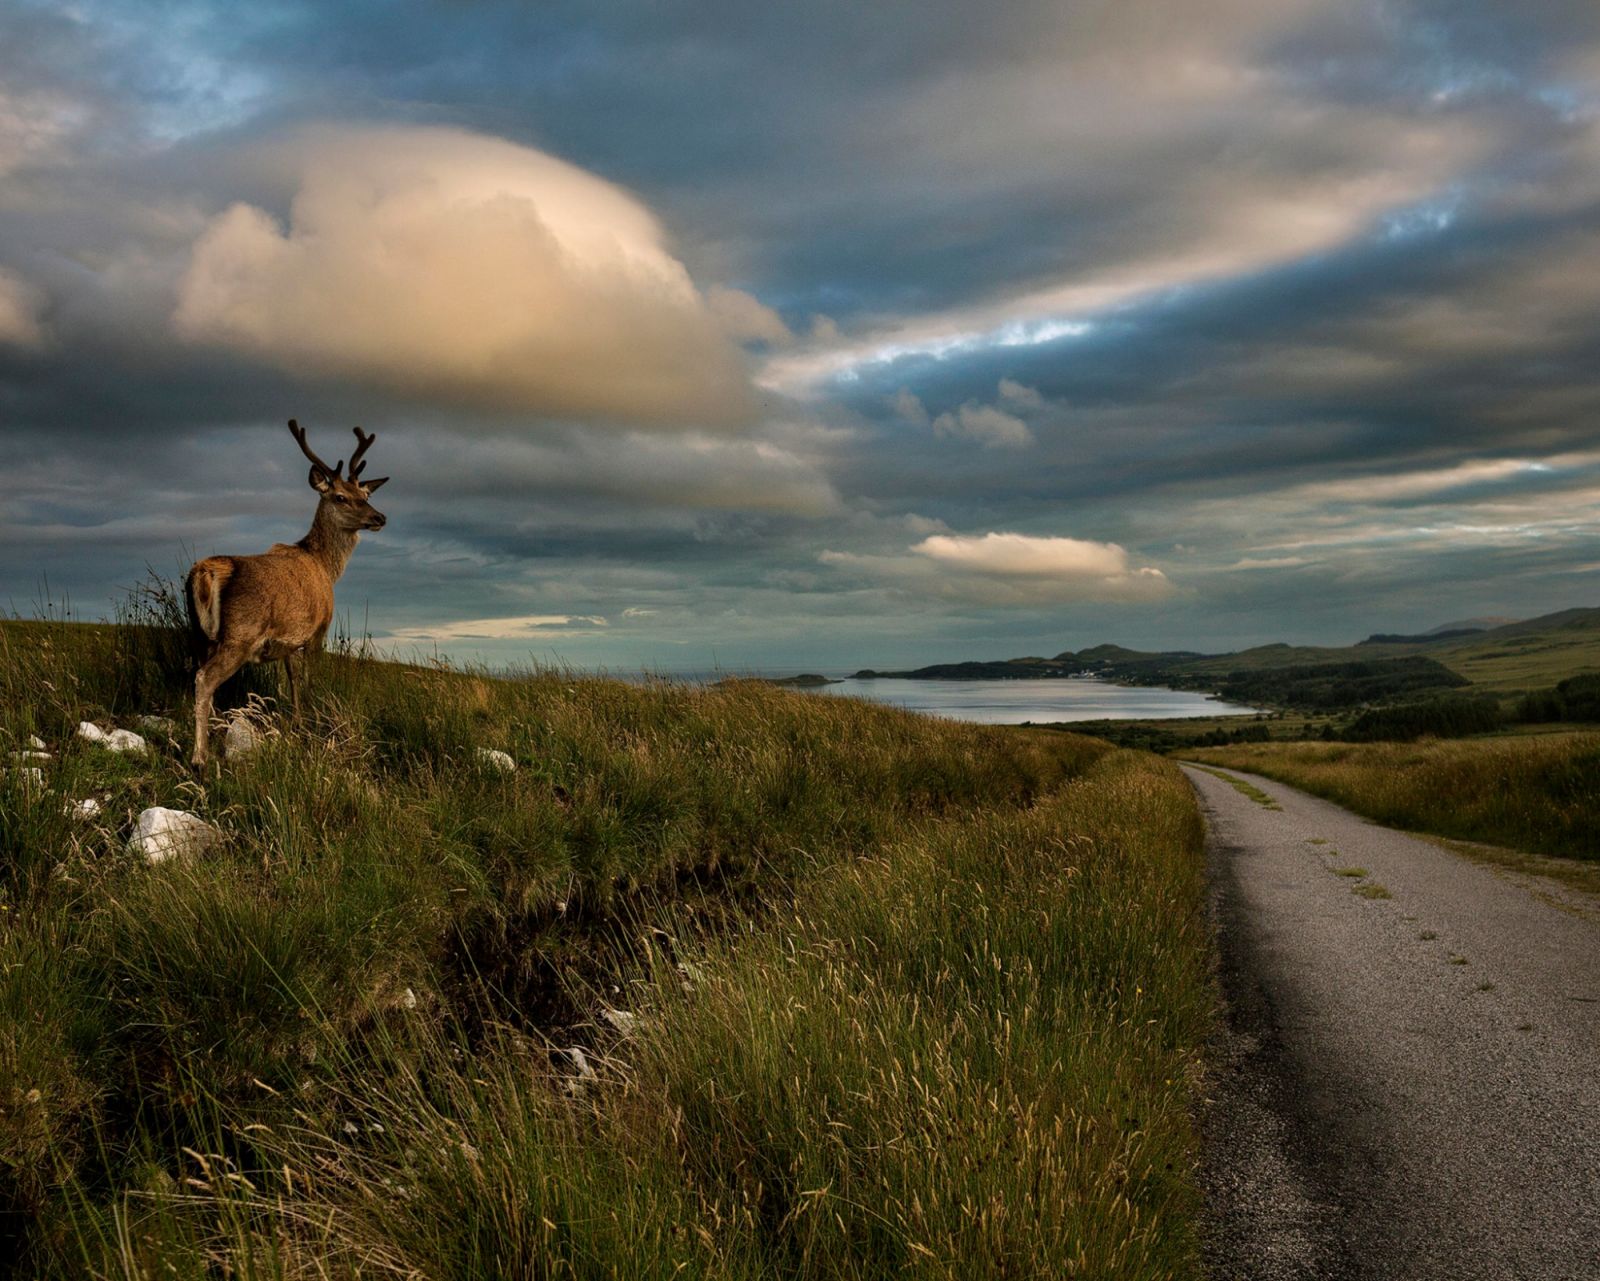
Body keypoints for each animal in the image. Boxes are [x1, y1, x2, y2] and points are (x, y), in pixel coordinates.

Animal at [185, 419, 388, 768]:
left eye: (364, 494)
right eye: (340, 497)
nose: (379, 517)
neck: (326, 567)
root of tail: (207, 571)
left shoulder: (288, 641)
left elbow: (292, 679)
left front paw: (295, 721)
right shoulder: (319, 628)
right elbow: (308, 680)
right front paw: (311, 721)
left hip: (199, 633)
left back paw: (215, 730)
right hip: (240, 634)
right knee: (203, 679)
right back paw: (200, 757)